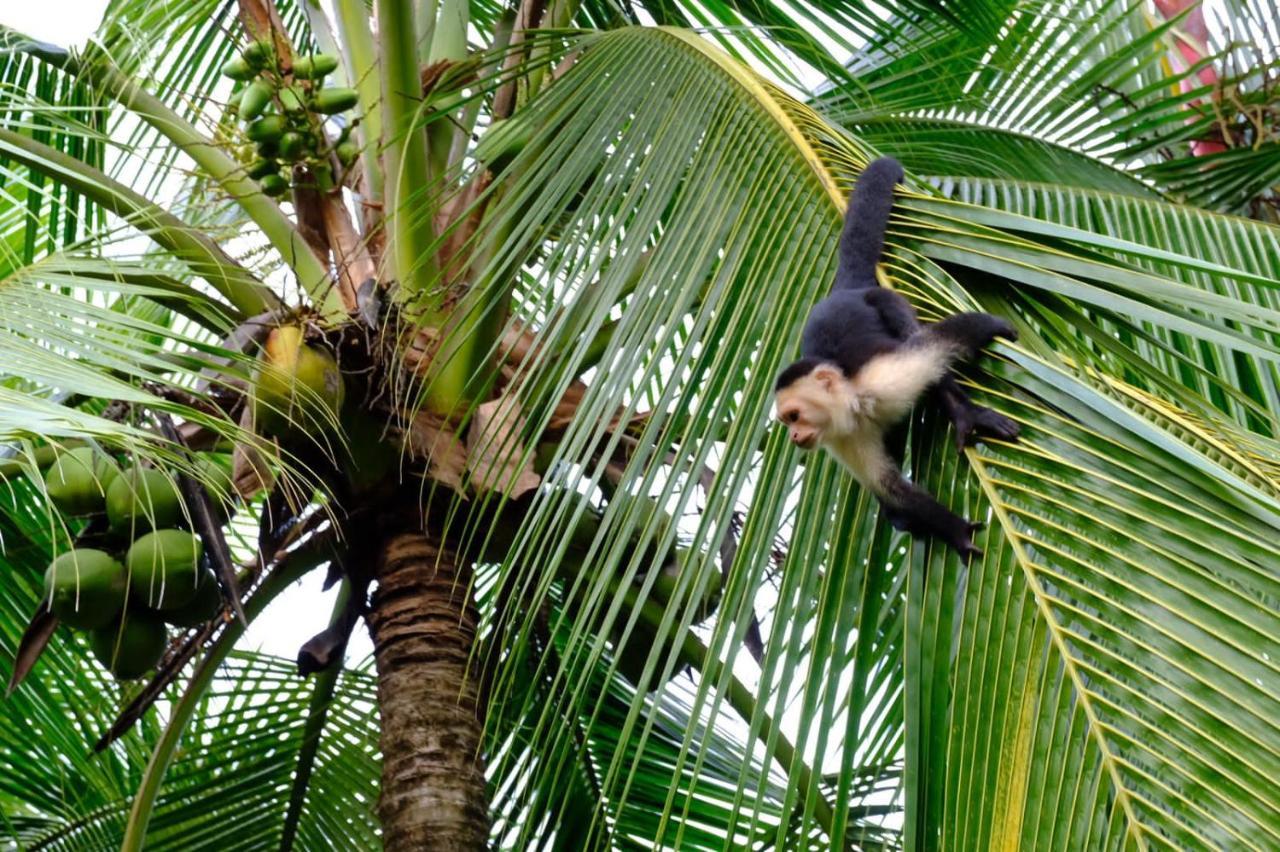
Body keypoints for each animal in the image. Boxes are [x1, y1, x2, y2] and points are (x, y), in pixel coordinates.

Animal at [768, 158, 1018, 557]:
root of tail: (845, 290)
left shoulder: (881, 376)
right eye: (785, 422)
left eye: (793, 416)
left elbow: (943, 343)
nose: (792, 437)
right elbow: (893, 488)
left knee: (911, 334)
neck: (855, 403)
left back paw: (963, 413)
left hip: (881, 298)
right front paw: (956, 530)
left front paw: (993, 328)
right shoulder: (842, 440)